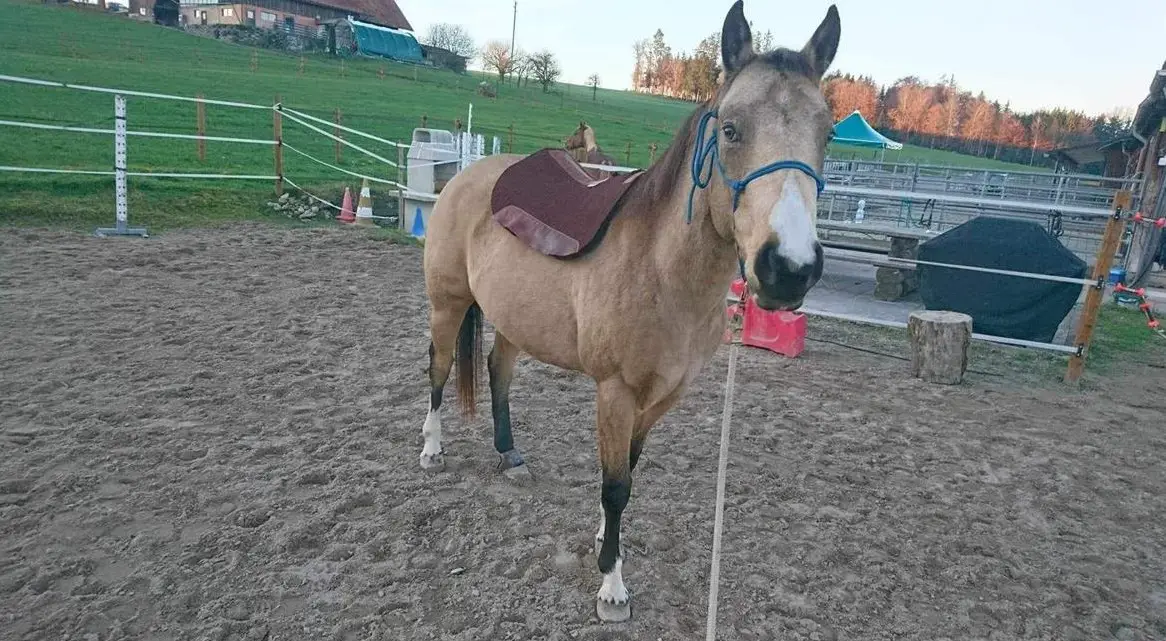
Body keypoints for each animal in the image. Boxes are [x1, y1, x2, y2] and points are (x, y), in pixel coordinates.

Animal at [418, 0, 840, 622]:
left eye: (828, 133)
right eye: (731, 128)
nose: (789, 267)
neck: (662, 271)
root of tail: (465, 175)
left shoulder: (662, 396)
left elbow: (628, 473)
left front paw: (604, 540)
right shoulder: (615, 391)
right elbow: (615, 484)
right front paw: (611, 584)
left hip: (515, 320)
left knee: (497, 371)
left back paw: (509, 454)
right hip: (447, 305)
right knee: (440, 369)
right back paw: (431, 449)